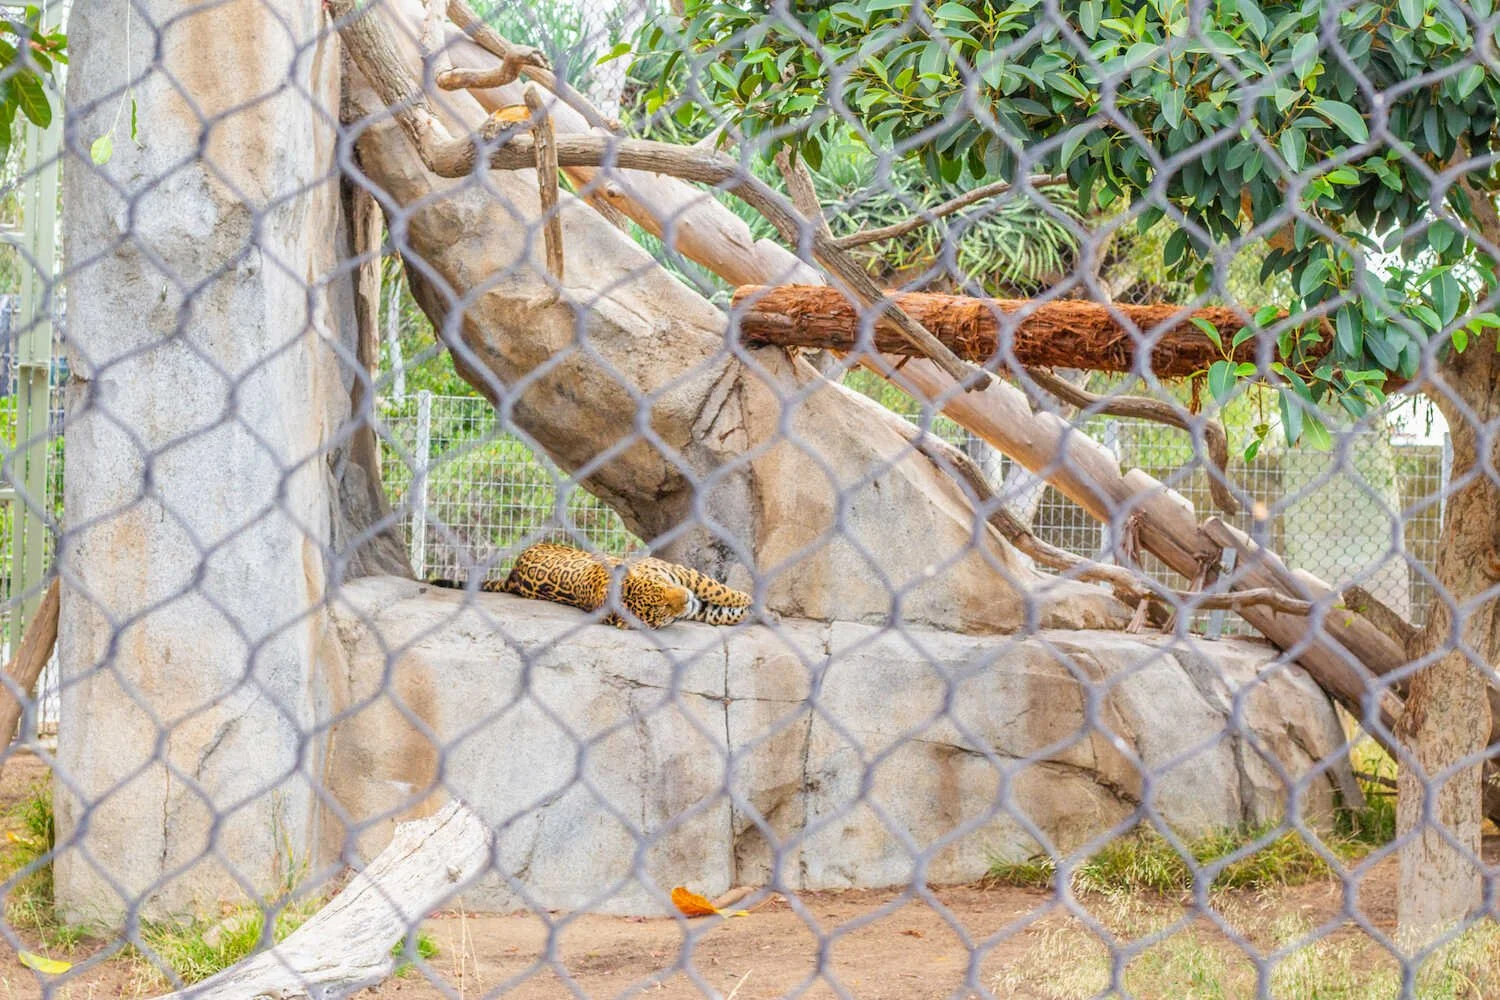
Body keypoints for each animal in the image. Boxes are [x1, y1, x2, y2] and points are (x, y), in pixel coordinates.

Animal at [429, 542, 752, 630]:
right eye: (659, 612)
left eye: (658, 585)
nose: (684, 600)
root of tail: (512, 575)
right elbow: (717, 606)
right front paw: (750, 606)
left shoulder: (682, 574)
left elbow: (718, 591)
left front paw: (749, 601)